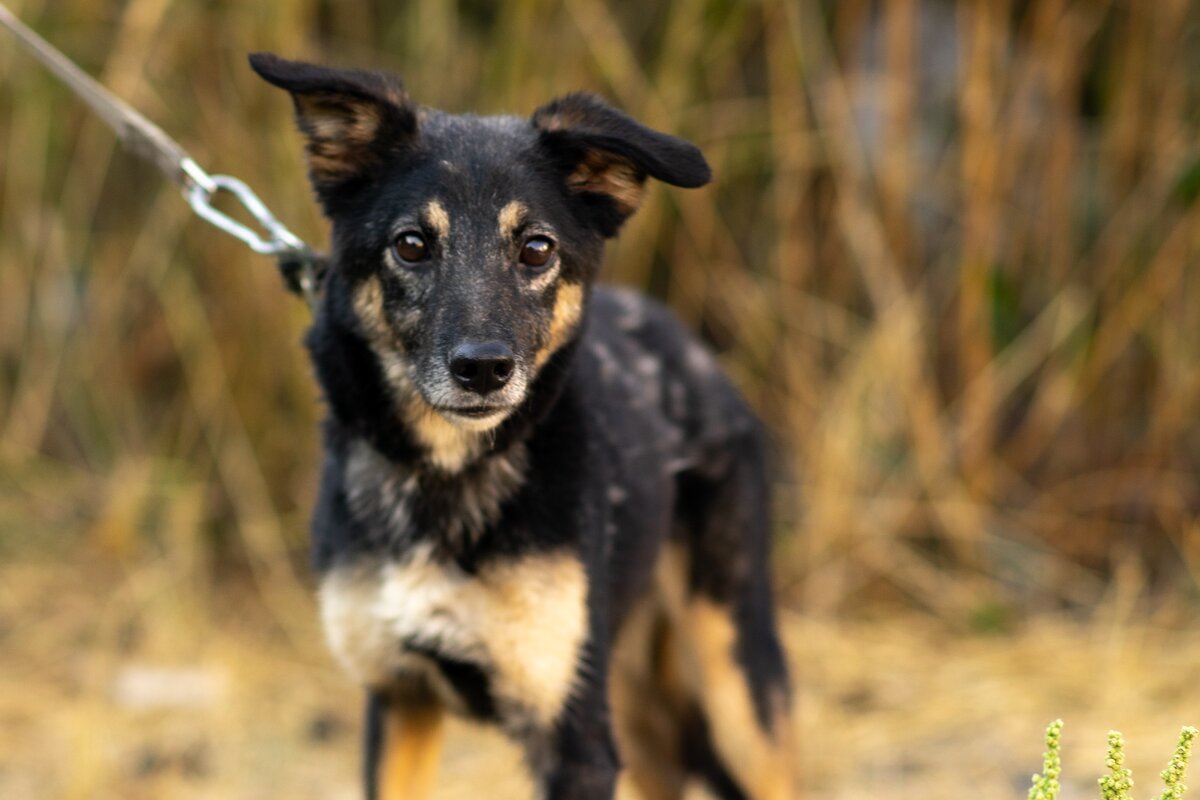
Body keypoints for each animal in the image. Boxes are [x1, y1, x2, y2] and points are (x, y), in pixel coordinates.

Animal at [250, 53, 796, 796]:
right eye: (412, 245)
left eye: (536, 249)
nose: (483, 369)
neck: (446, 477)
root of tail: (691, 348)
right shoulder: (399, 701)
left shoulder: (574, 738)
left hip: (732, 680)